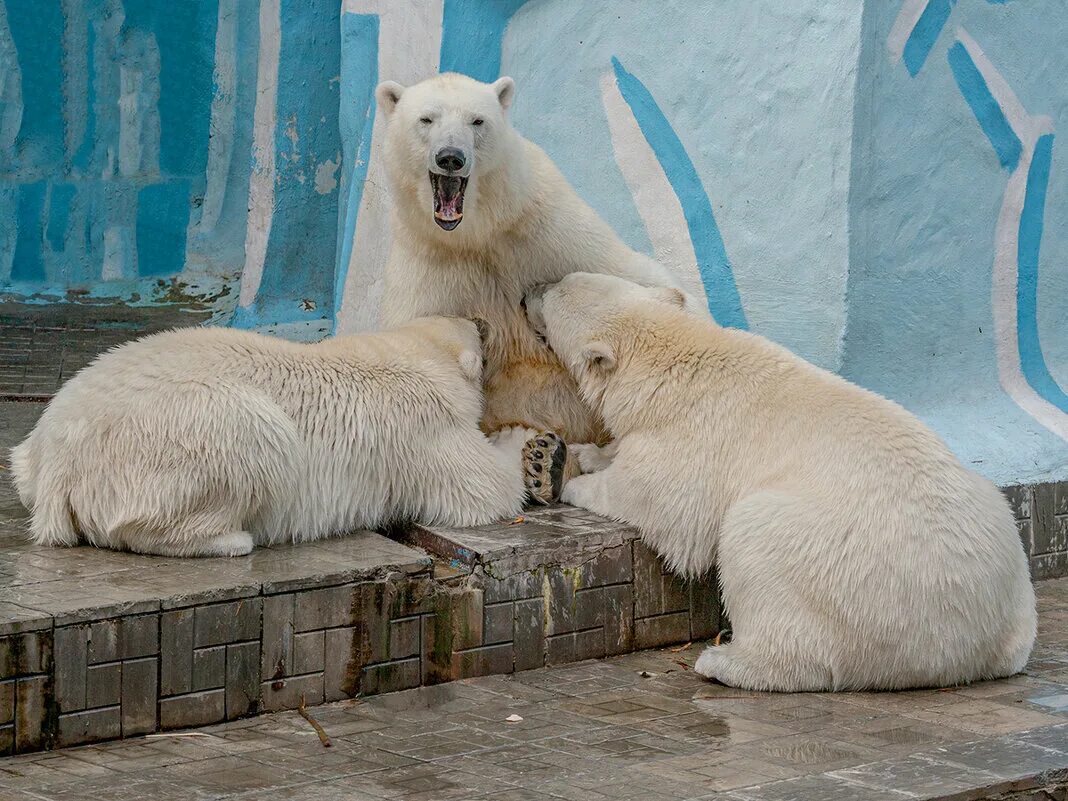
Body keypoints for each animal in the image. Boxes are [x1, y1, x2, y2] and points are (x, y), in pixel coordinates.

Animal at [12, 318, 563, 559]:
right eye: (481, 335)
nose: (483, 320)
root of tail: (60, 461)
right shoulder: (423, 425)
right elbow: (480, 487)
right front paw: (536, 453)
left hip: (33, 452)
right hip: (192, 430)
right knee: (257, 441)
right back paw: (230, 539)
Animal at [525, 273, 1033, 692]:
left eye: (552, 292)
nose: (525, 293)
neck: (674, 362)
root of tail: (976, 642)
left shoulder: (694, 438)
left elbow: (660, 502)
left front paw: (566, 479)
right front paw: (581, 454)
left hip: (848, 565)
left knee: (755, 541)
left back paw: (726, 661)